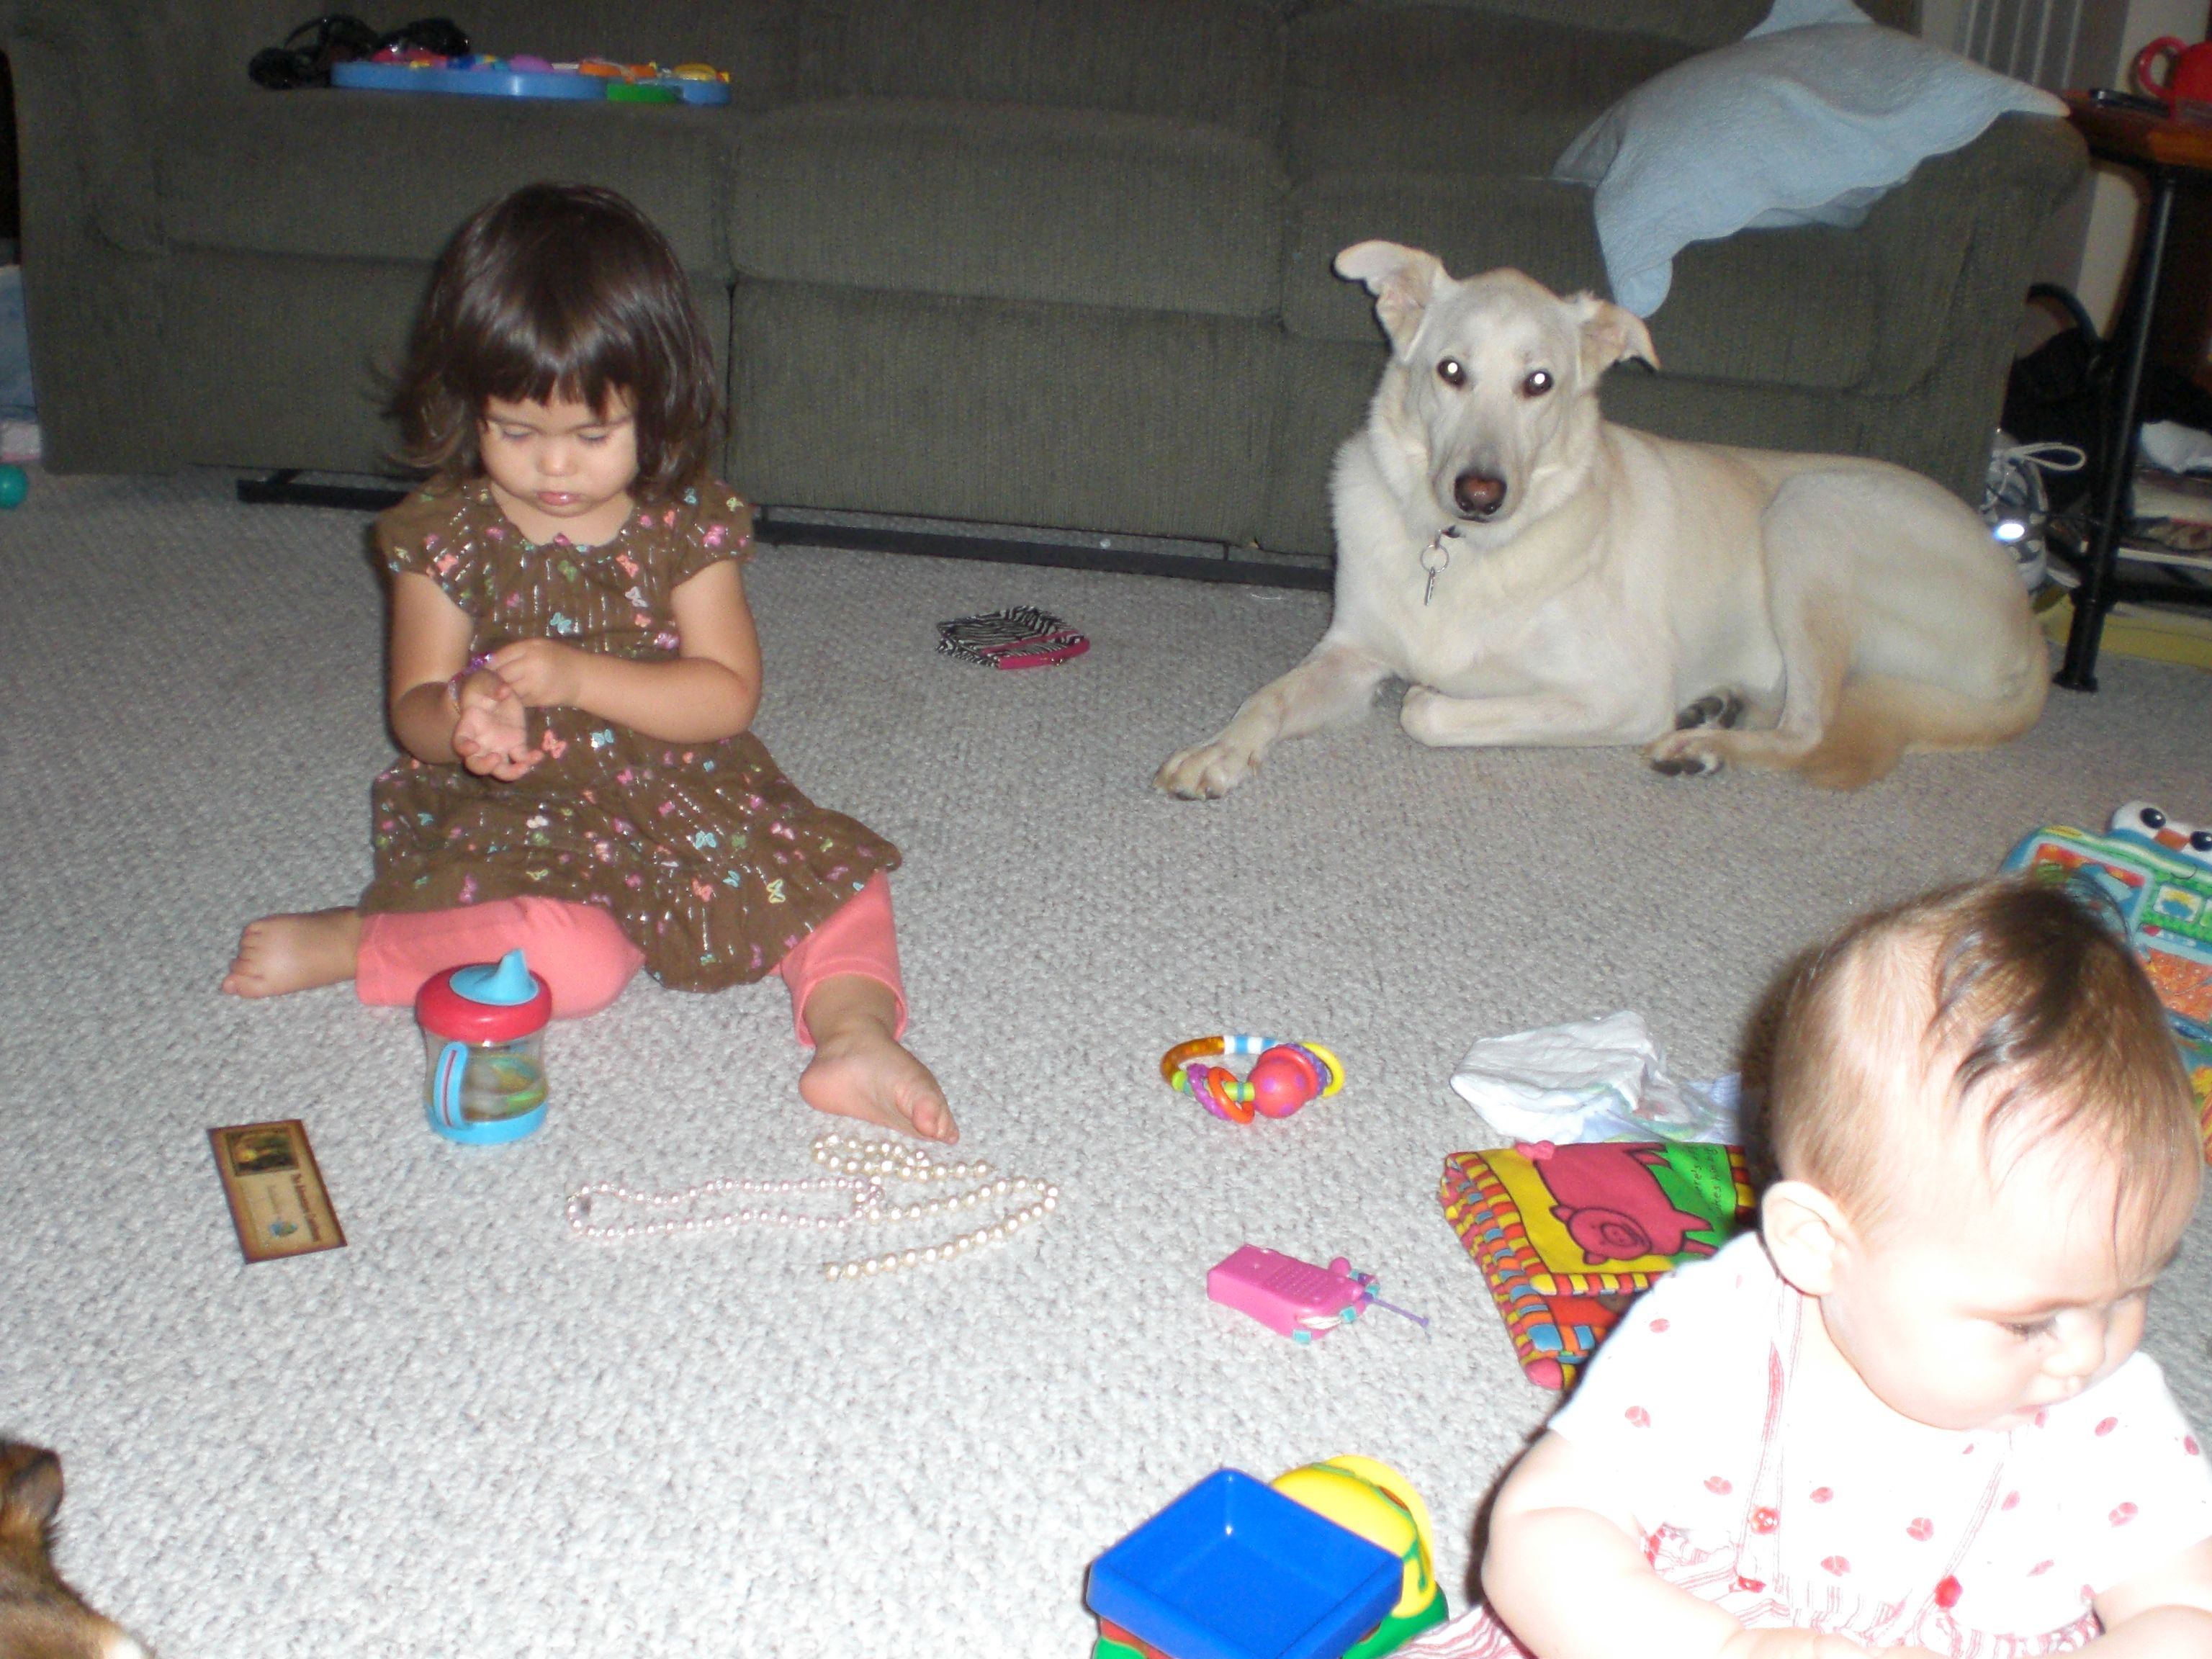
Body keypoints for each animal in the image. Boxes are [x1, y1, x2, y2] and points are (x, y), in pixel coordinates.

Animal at [1155, 244, 2048, 797]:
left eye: (1540, 383)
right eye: (1450, 371)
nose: (1479, 493)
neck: (1464, 551)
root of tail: (2029, 632)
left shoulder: (1622, 691)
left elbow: (1429, 708)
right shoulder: (1350, 656)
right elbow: (1268, 699)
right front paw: (1219, 750)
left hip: (1810, 510)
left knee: (1809, 727)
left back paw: (1700, 743)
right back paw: (1717, 712)